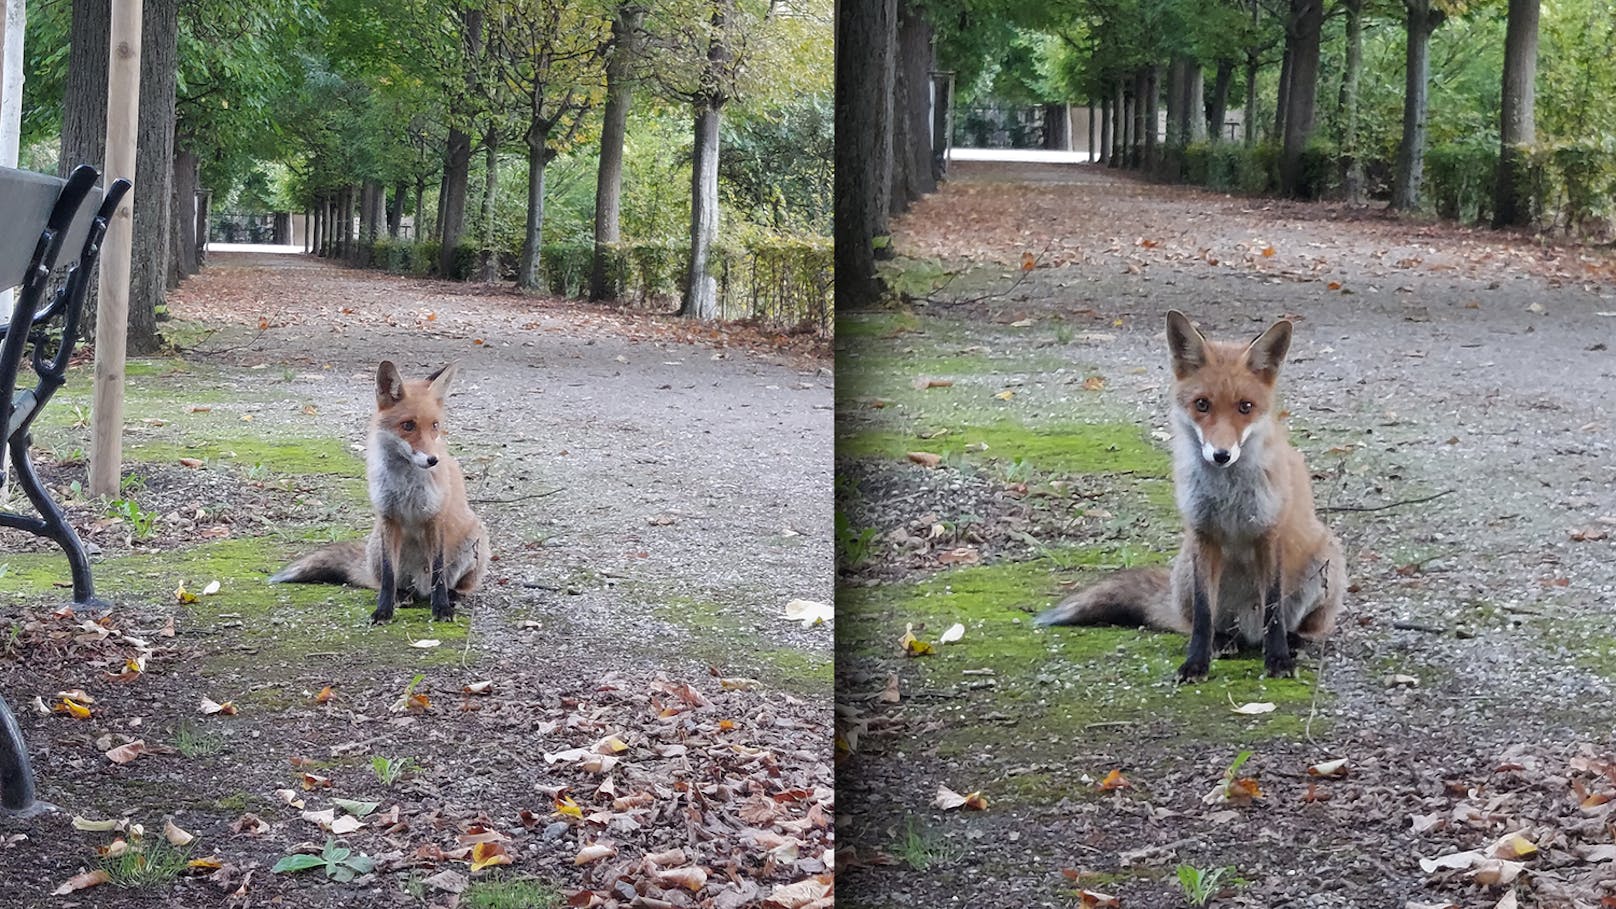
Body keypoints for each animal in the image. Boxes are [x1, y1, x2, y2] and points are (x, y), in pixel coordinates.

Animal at [271, 355, 488, 621]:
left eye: (435, 425)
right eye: (408, 425)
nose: (432, 460)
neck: (405, 485)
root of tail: (420, 589)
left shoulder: (435, 517)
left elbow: (438, 571)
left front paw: (441, 608)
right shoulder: (388, 517)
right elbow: (388, 575)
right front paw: (383, 610)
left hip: (476, 538)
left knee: (458, 584)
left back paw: (453, 595)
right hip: (375, 546)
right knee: (387, 582)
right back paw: (402, 596)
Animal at [1034, 310, 1350, 679]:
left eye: (1245, 407)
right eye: (1202, 404)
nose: (1221, 455)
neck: (1228, 495)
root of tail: (1249, 633)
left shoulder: (1269, 533)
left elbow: (1273, 608)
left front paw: (1278, 660)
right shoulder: (1203, 534)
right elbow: (1202, 614)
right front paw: (1196, 662)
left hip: (1326, 557)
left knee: (1304, 626)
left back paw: (1294, 640)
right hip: (1185, 570)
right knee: (1203, 623)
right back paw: (1223, 642)